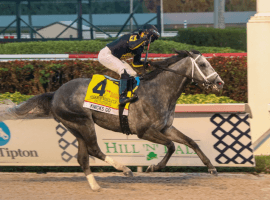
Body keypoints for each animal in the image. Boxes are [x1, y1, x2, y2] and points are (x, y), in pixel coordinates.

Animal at [0, 50, 224, 191]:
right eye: (203, 64)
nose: (219, 83)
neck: (158, 91)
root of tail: (55, 93)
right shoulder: (144, 131)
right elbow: (171, 146)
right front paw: (153, 167)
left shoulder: (165, 128)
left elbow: (190, 142)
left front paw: (211, 167)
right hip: (83, 122)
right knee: (94, 149)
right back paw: (125, 169)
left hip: (75, 127)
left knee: (83, 157)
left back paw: (95, 186)